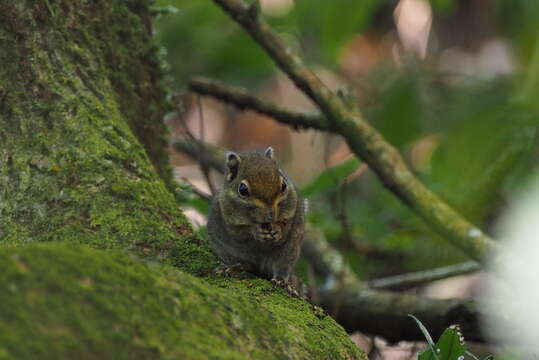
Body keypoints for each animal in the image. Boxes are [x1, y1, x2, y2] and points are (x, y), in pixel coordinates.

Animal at [208, 148, 306, 294]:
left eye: (284, 185)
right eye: (242, 190)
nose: (271, 215)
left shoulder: (293, 209)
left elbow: (286, 225)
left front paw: (278, 230)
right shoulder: (227, 215)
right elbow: (239, 232)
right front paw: (256, 231)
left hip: (289, 252)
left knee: (282, 268)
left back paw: (283, 282)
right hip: (228, 251)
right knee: (248, 264)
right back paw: (235, 267)